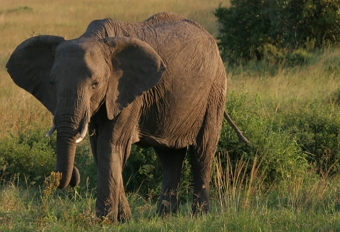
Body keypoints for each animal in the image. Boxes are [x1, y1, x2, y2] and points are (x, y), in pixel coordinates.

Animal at [5, 12, 247, 221]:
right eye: (52, 82)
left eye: (95, 84)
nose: (73, 176)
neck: (95, 38)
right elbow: (99, 148)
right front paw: (123, 219)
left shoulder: (127, 92)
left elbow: (111, 144)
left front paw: (104, 221)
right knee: (169, 157)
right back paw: (165, 217)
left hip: (215, 90)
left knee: (202, 151)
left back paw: (199, 216)